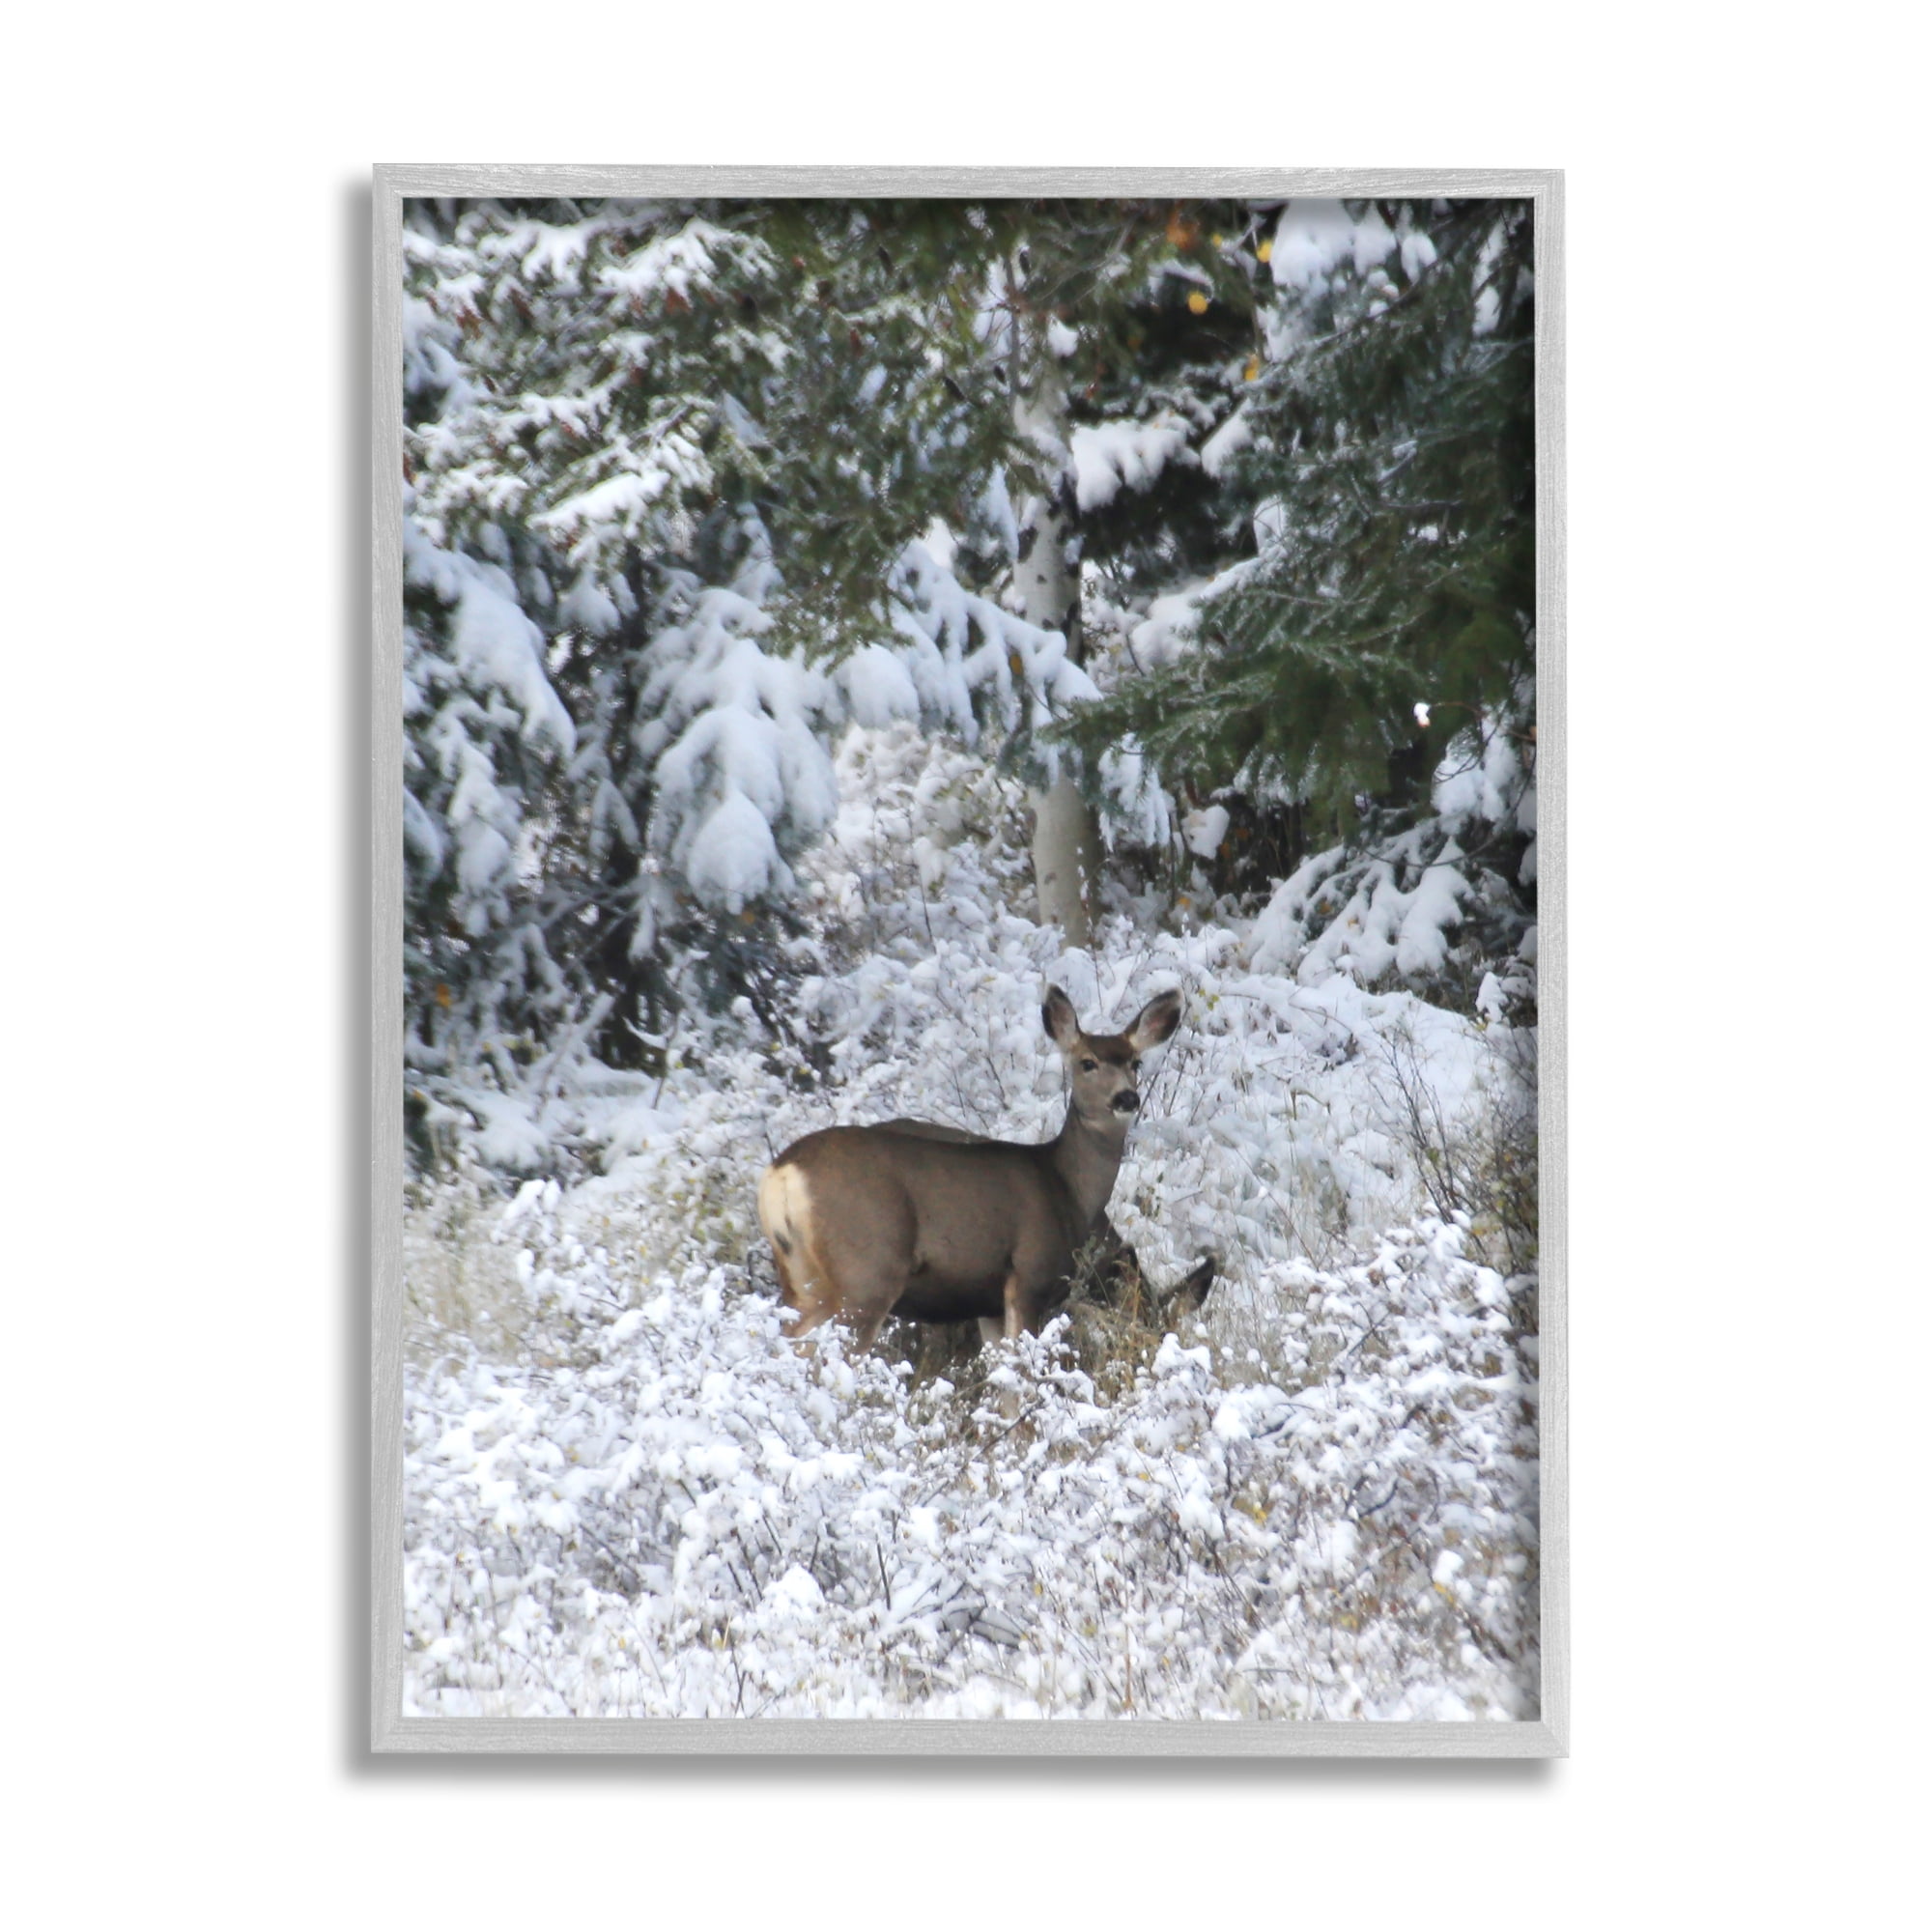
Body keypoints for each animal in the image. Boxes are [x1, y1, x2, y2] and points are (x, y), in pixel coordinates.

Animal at [757, 985, 1198, 1350]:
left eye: (1136, 1063)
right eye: (1087, 1062)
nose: (1126, 1098)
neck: (1068, 1190)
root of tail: (784, 1172)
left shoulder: (988, 1304)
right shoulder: (1028, 1274)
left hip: (801, 1277)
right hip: (866, 1270)